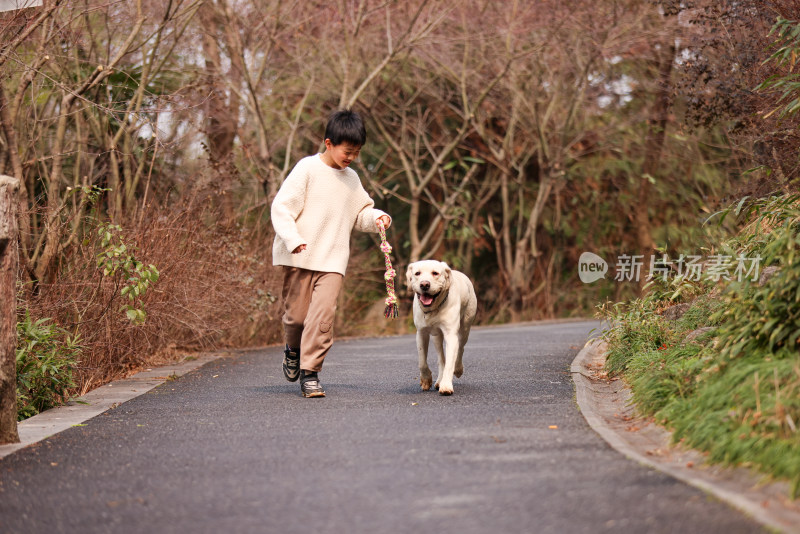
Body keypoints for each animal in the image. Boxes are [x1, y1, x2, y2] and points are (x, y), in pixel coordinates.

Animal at [406, 262, 476, 396]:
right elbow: (422, 361)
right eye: (417, 273)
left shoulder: (451, 334)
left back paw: (458, 369)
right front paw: (426, 380)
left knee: (460, 348)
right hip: (436, 336)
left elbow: (450, 362)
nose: (424, 284)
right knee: (441, 358)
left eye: (435, 273)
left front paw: (446, 386)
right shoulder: (421, 333)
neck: (433, 310)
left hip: (465, 327)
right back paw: (439, 380)